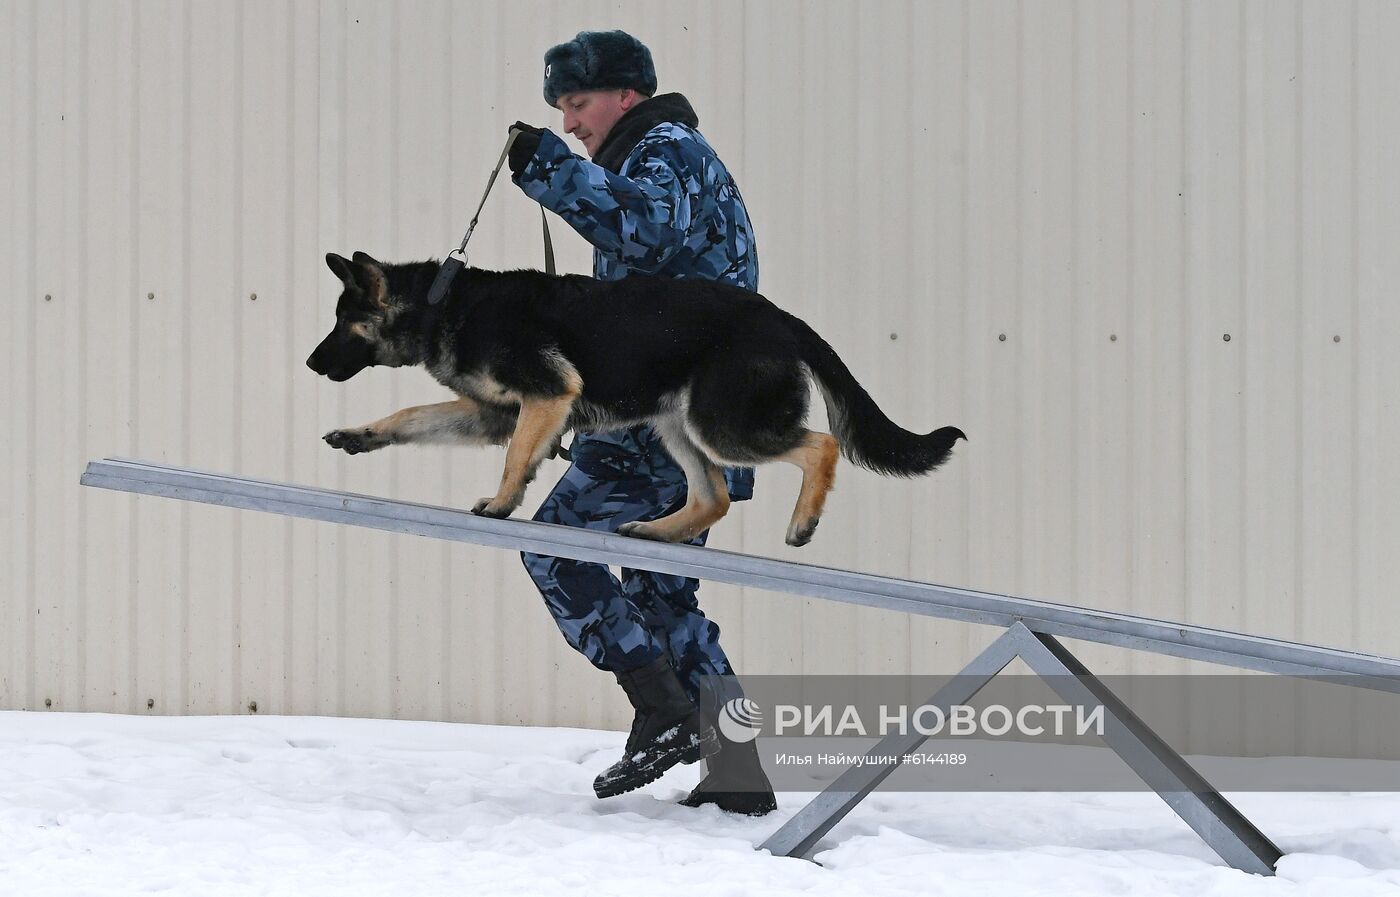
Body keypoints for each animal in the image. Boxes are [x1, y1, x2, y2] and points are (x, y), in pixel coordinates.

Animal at [306, 251, 963, 545]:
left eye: (342, 323)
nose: (311, 364)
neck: (444, 303)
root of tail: (781, 319)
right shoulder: (494, 413)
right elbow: (411, 415)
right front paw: (359, 436)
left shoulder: (547, 397)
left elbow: (517, 457)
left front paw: (503, 502)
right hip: (679, 427)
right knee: (714, 498)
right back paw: (656, 532)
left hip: (720, 424)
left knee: (821, 444)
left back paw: (803, 522)